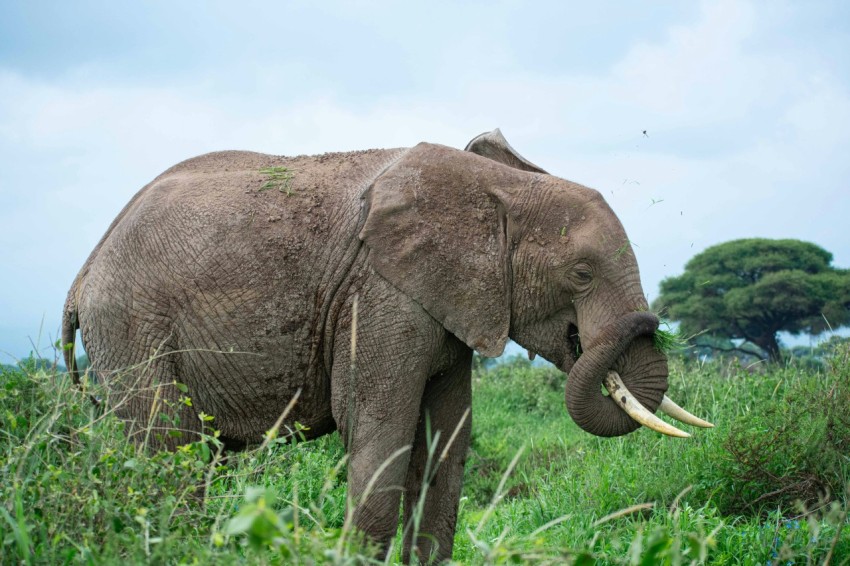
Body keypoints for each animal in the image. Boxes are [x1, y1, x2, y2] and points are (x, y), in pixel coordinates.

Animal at [62, 129, 710, 562]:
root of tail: (85, 272)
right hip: (132, 326)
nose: (650, 319)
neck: (496, 188)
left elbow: (447, 446)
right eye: (580, 275)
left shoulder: (446, 301)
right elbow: (380, 431)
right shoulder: (379, 294)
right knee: (167, 455)